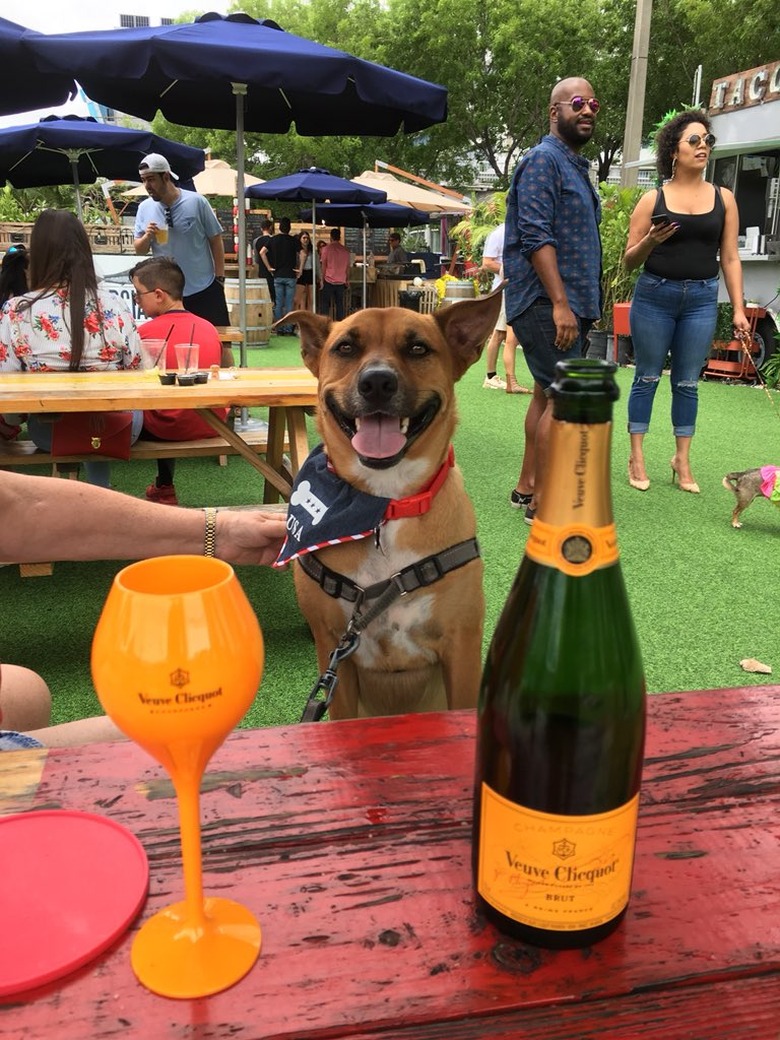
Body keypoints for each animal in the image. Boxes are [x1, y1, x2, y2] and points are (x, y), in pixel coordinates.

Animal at [284, 289, 503, 719]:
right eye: (345, 347)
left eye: (418, 348)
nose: (377, 382)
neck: (384, 506)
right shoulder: (333, 648)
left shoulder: (462, 645)